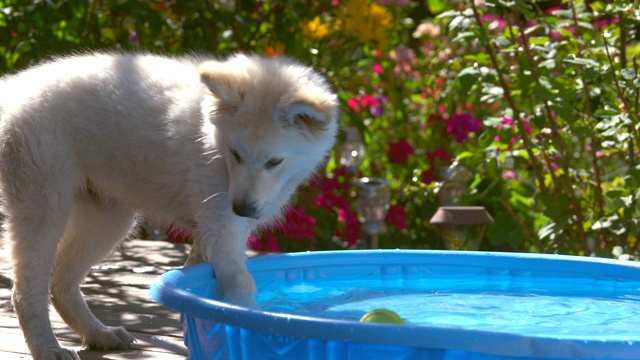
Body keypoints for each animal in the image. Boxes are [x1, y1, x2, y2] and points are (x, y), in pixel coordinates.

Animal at [0, 52, 340, 358]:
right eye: (236, 154)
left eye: (274, 161)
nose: (242, 209)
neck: (214, 146)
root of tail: (12, 89)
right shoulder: (221, 228)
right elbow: (241, 285)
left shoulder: (216, 231)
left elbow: (195, 282)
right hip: (45, 206)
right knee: (27, 290)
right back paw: (48, 348)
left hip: (109, 218)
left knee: (61, 281)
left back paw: (98, 334)